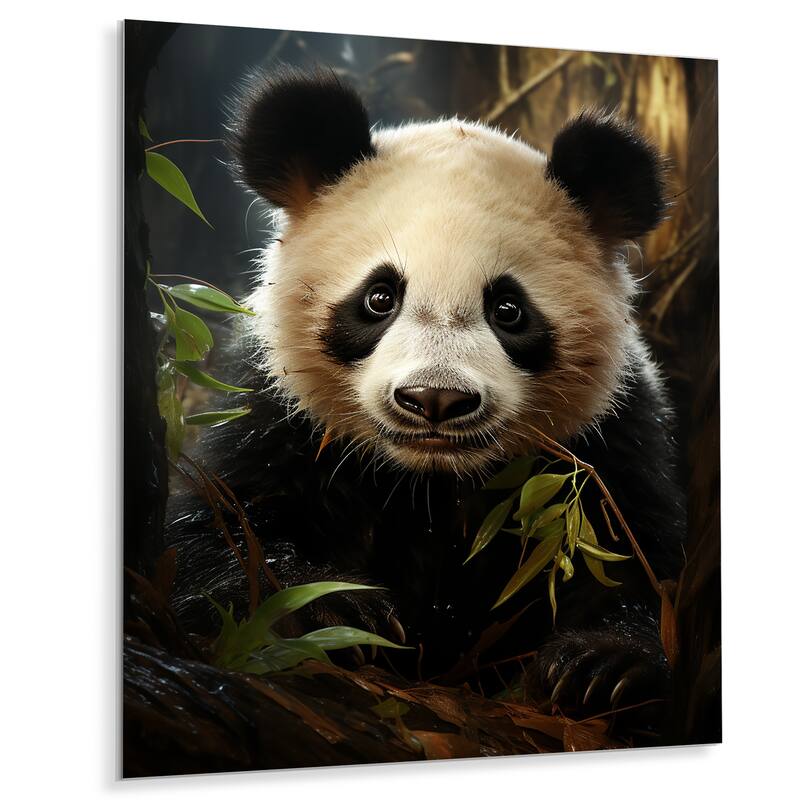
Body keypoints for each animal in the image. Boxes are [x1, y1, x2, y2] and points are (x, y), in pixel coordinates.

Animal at [167, 67, 685, 723]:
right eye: (379, 297)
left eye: (508, 309)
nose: (435, 400)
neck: (429, 480)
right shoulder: (278, 413)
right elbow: (222, 526)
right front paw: (329, 610)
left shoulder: (606, 435)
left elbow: (627, 554)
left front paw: (602, 668)